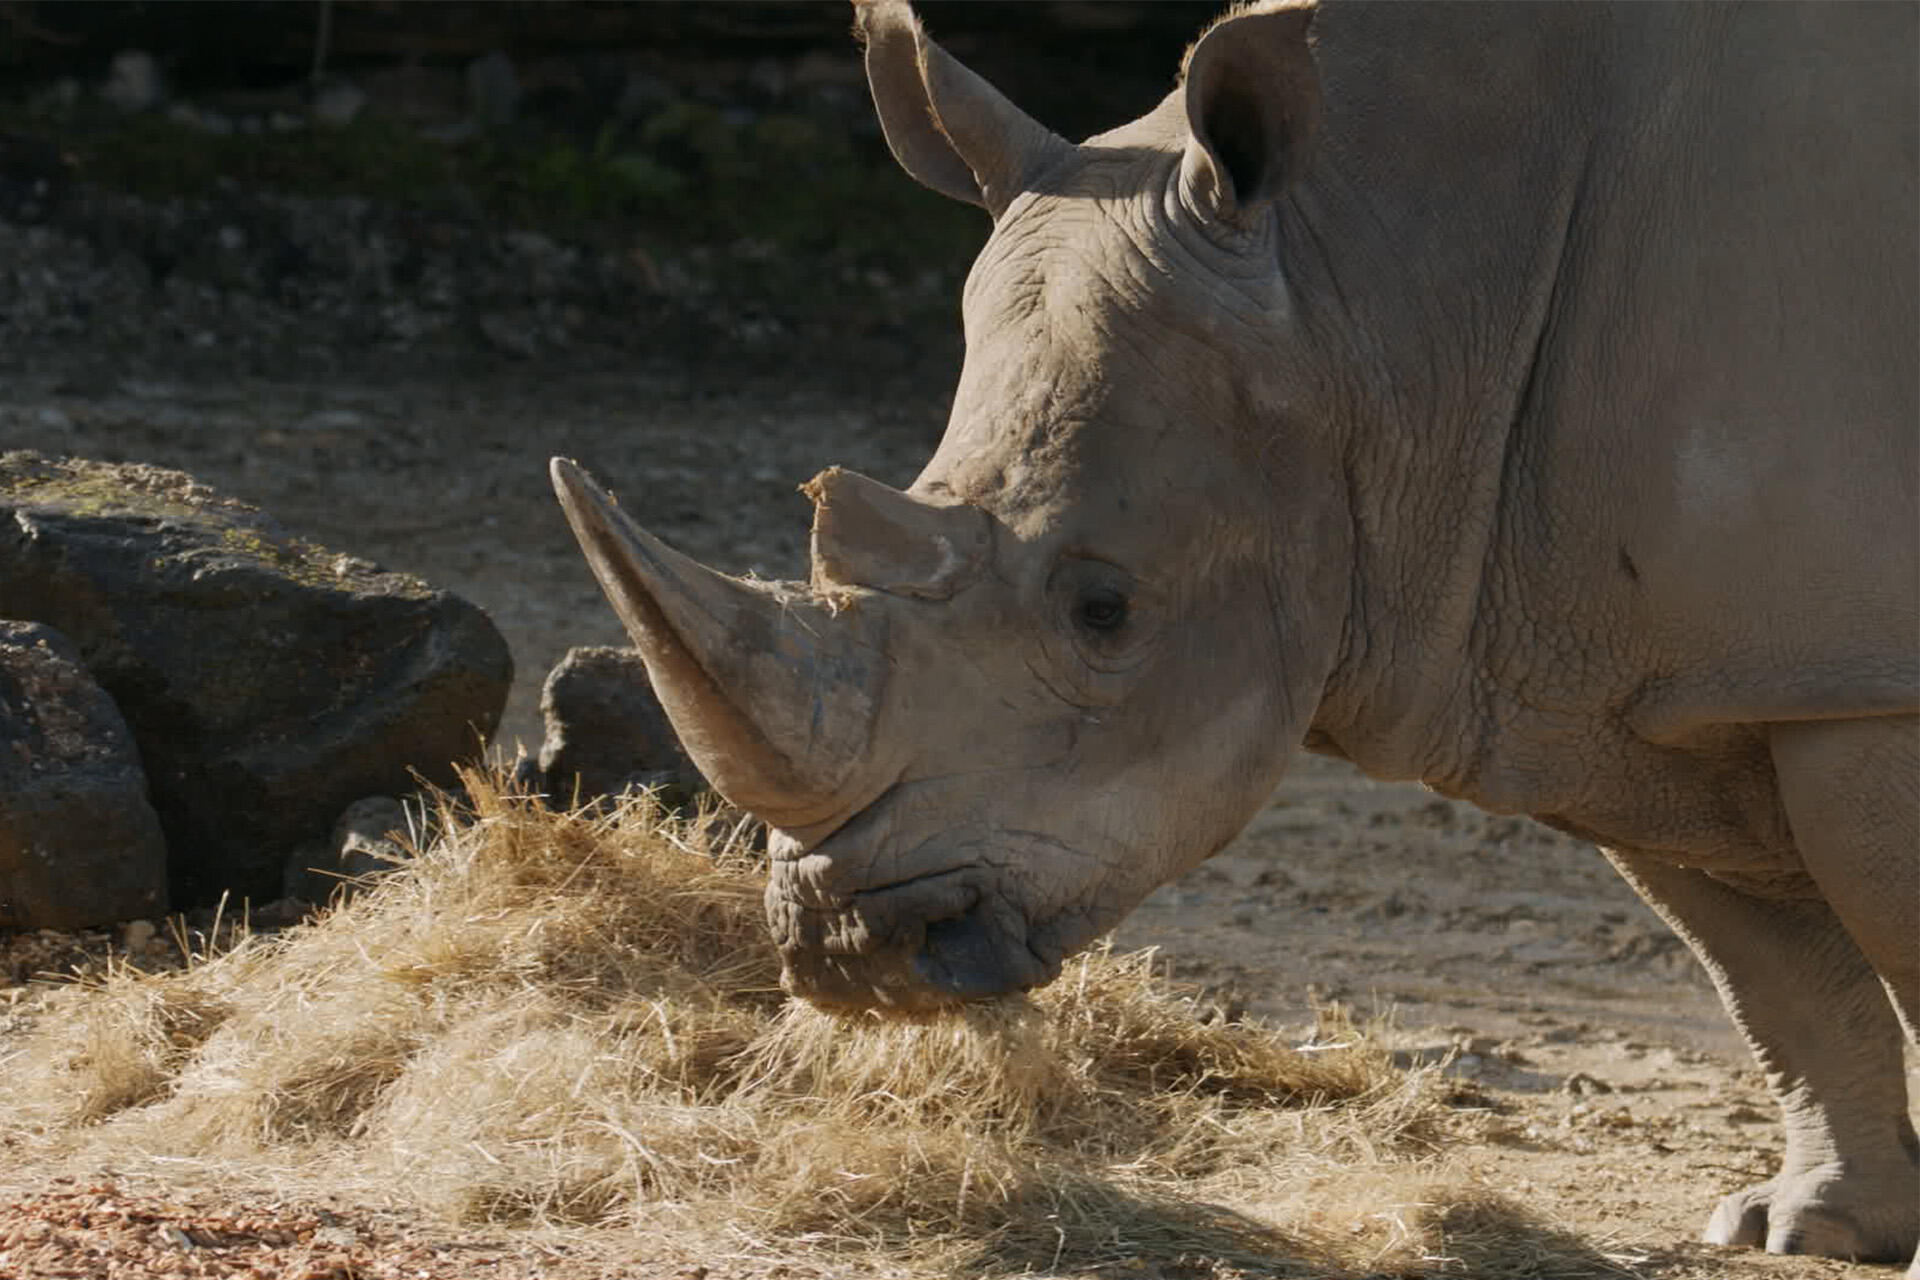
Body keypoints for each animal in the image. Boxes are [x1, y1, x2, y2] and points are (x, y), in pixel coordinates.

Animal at [552, 0, 1918, 1269]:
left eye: (1104, 609)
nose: (850, 942)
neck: (1385, 281)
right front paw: (1808, 1226)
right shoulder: (1644, 671)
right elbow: (1775, 975)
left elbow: (1878, 939)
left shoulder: (1846, 676)